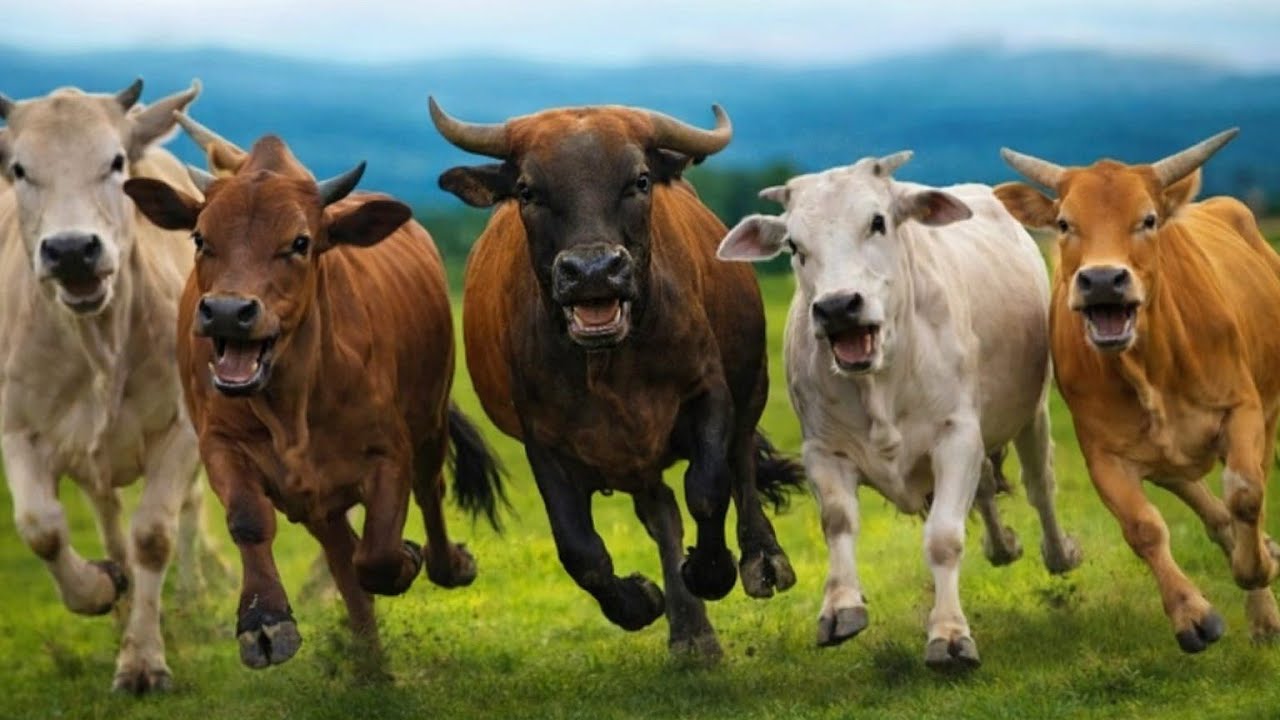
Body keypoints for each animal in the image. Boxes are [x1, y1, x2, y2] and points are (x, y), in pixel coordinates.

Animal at [0, 79, 230, 694]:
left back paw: (196, 596)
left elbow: (154, 534)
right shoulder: (18, 429)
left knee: (188, 511)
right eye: (19, 169)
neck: (99, 342)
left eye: (116, 161)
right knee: (106, 520)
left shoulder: (183, 429)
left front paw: (143, 661)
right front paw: (103, 589)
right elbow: (42, 529)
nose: (71, 250)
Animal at [123, 115, 505, 669]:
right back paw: (370, 670)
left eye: (300, 242)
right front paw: (264, 621)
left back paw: (445, 564)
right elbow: (252, 521)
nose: (227, 312)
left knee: (428, 491)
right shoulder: (221, 444)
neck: (291, 407)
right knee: (343, 558)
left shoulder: (389, 452)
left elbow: (380, 551)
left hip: (431, 420)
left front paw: (407, 559)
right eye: (199, 238)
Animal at [429, 98, 802, 659]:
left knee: (738, 461)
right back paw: (690, 633)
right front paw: (642, 600)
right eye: (528, 190)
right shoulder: (544, 442)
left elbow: (708, 486)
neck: (610, 366)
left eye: (640, 181)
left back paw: (762, 561)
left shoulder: (710, 392)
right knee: (661, 513)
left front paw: (711, 572)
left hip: (751, 382)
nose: (592, 272)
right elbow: (578, 549)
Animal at [718, 153, 1082, 669]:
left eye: (877, 222)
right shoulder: (823, 450)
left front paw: (949, 635)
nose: (837, 306)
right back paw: (1003, 545)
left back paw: (1059, 553)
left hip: (1031, 412)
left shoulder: (956, 436)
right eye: (794, 244)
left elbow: (944, 537)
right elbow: (838, 521)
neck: (880, 378)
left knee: (1040, 487)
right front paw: (841, 607)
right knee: (987, 490)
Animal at [995, 129, 1280, 652]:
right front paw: (1192, 615)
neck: (1152, 367)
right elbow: (1144, 529)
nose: (1102, 279)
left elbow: (1246, 495)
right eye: (1064, 223)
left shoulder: (1243, 409)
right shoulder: (1106, 453)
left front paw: (1257, 568)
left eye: (1147, 220)